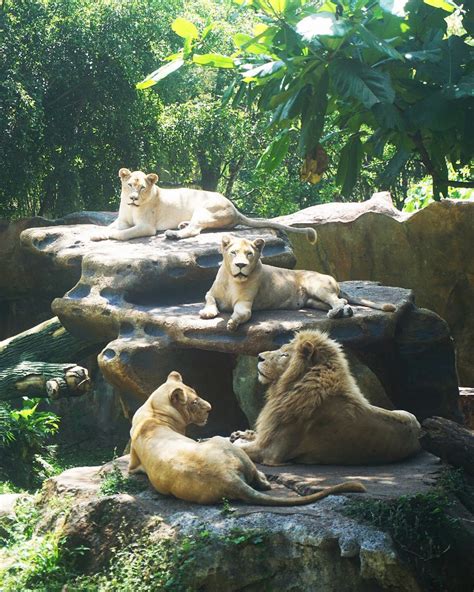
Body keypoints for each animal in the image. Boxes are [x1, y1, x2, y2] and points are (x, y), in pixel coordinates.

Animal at [90, 170, 316, 244]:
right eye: (130, 185)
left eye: (142, 187)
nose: (134, 198)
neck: (131, 208)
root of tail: (235, 208)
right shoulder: (122, 219)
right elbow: (109, 227)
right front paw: (96, 234)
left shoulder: (147, 227)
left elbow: (124, 233)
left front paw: (111, 236)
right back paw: (181, 225)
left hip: (204, 207)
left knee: (195, 230)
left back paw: (174, 233)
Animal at [130, 370, 366, 504]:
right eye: (194, 402)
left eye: (197, 395)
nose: (210, 408)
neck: (153, 411)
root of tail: (228, 477)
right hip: (223, 443)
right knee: (259, 477)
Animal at [198, 234, 394, 330]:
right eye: (233, 253)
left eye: (249, 254)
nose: (240, 265)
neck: (233, 280)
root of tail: (332, 279)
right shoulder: (210, 293)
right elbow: (209, 299)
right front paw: (207, 313)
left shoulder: (245, 304)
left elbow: (241, 314)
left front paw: (232, 323)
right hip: (313, 301)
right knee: (342, 302)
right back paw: (344, 312)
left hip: (318, 287)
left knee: (339, 300)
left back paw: (335, 313)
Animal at [231, 330, 420, 464]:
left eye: (284, 354)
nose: (259, 357)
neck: (287, 388)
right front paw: (241, 435)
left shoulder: (271, 452)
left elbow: (241, 449)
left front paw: (236, 441)